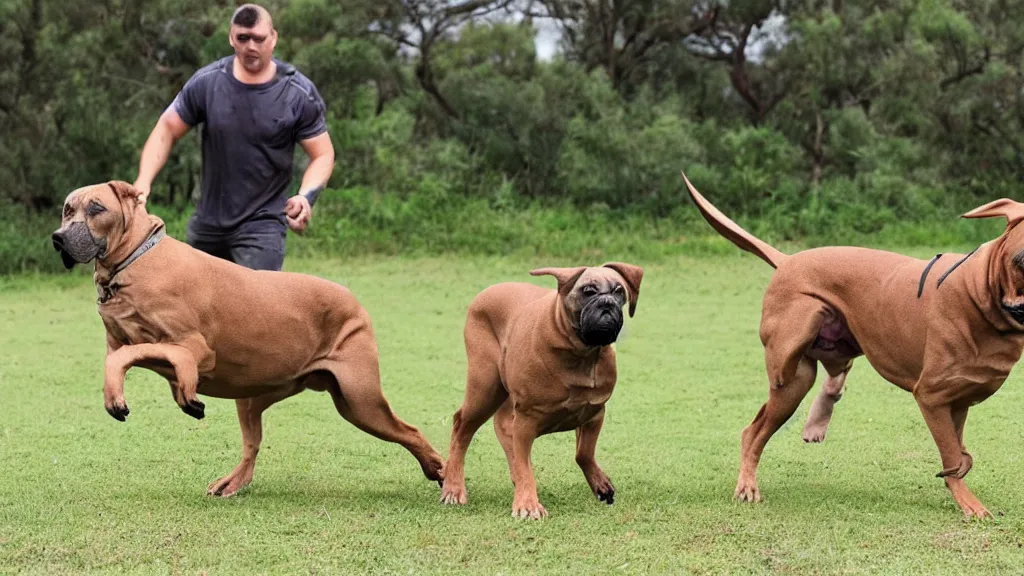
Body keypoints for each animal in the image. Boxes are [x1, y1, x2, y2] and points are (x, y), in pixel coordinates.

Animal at [51, 181, 444, 496]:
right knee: (252, 446)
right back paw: (233, 481)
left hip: (361, 399)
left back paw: (438, 468)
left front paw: (183, 392)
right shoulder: (124, 343)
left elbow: (151, 357)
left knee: (409, 430)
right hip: (262, 398)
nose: (58, 237)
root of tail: (354, 301)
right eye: (67, 209)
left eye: (96, 208)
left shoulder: (195, 347)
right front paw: (134, 394)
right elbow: (118, 360)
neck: (133, 261)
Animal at [438, 262, 638, 518]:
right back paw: (454, 487)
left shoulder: (594, 412)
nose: (607, 303)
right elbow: (525, 463)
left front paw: (600, 483)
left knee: (501, 427)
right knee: (462, 427)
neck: (578, 352)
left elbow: (583, 452)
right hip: (485, 389)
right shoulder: (526, 421)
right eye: (588, 291)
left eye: (619, 291)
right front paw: (527, 503)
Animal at [684, 169, 1024, 516]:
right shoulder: (932, 396)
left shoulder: (958, 400)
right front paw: (971, 504)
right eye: (1020, 263)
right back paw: (748, 485)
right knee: (754, 429)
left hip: (822, 356)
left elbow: (958, 454)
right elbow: (952, 455)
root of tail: (788, 260)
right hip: (792, 364)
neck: (979, 293)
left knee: (830, 376)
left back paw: (816, 421)